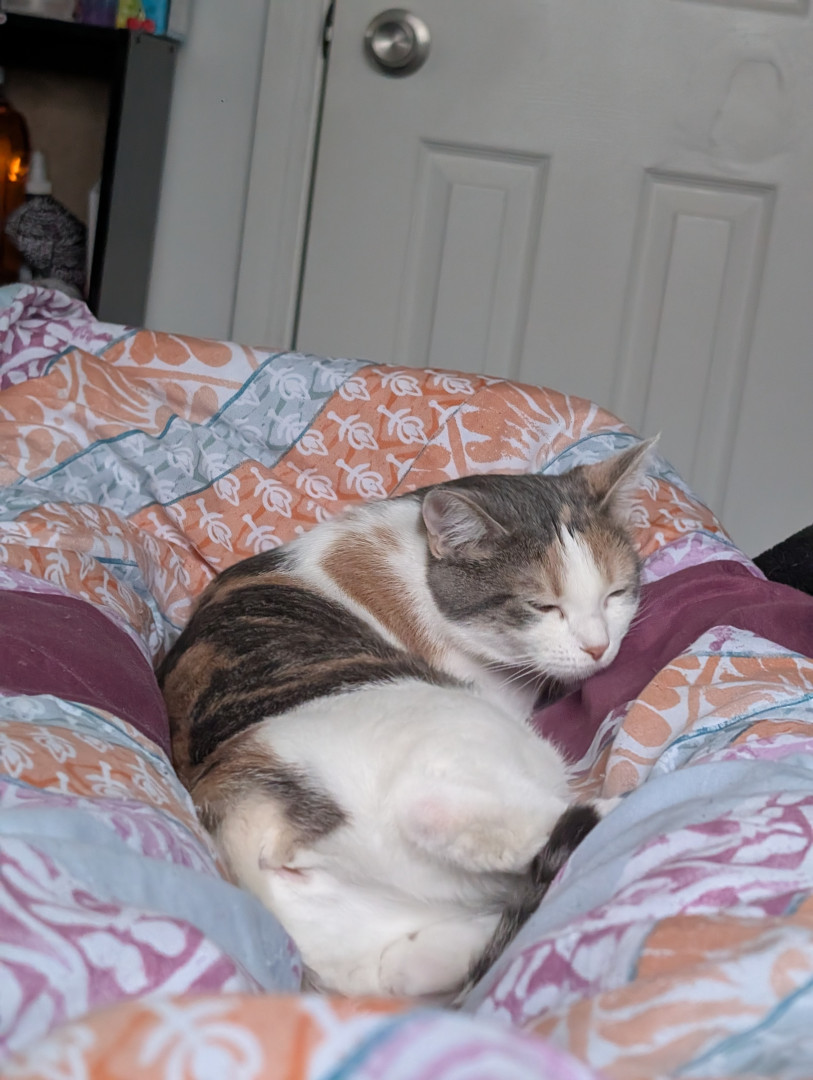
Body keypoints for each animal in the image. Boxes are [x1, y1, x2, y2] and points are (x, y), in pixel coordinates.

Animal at [157, 439, 653, 999]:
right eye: (543, 607)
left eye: (616, 594)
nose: (598, 647)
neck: (414, 560)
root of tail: (252, 826)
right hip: (468, 735)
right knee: (441, 811)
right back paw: (624, 804)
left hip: (371, 942)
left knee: (408, 965)